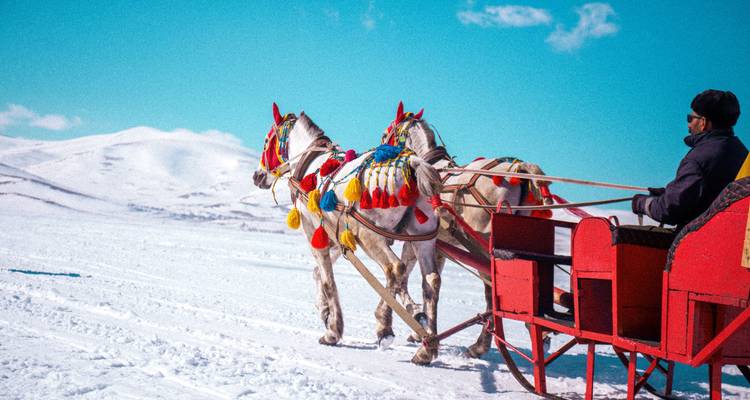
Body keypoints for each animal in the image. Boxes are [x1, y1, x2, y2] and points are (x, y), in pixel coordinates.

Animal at [252, 104, 445, 364]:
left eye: (266, 141)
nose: (257, 176)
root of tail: (413, 163)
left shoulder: (314, 234)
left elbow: (327, 279)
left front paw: (332, 329)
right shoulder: (334, 237)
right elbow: (317, 274)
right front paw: (324, 311)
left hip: (370, 236)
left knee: (395, 269)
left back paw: (384, 327)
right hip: (422, 237)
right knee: (431, 280)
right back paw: (427, 345)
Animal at [380, 102, 552, 359]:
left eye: (386, 133)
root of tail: (519, 169)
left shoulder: (413, 240)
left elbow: (405, 280)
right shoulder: (438, 247)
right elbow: (431, 285)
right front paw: (424, 332)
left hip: (485, 247)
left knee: (492, 290)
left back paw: (481, 345)